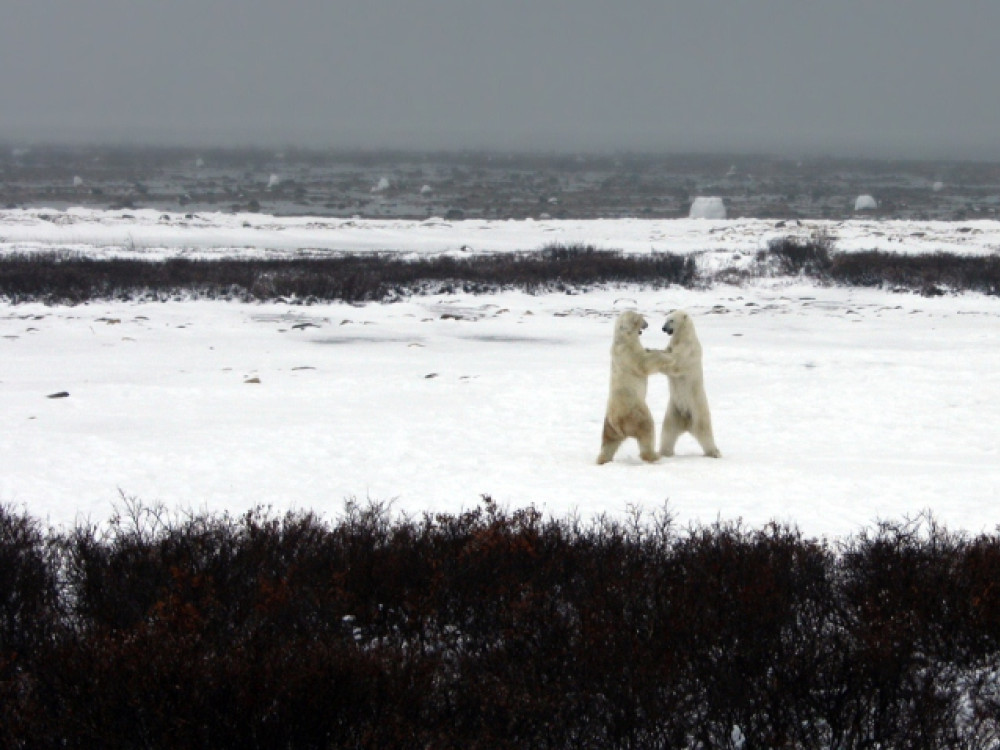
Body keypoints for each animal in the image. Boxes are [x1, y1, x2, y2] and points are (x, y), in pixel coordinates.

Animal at [596, 312, 676, 464]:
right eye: (641, 318)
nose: (647, 324)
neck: (623, 337)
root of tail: (618, 423)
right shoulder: (630, 353)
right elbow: (645, 363)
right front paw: (666, 356)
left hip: (608, 425)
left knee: (608, 443)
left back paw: (602, 460)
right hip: (636, 413)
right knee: (647, 430)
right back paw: (654, 456)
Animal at [656, 310, 720, 458]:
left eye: (671, 320)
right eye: (666, 318)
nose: (663, 328)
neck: (683, 336)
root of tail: (686, 422)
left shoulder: (688, 349)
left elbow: (676, 362)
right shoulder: (672, 344)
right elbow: (667, 350)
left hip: (697, 410)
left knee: (704, 431)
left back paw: (714, 452)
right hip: (674, 411)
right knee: (668, 431)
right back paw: (664, 452)